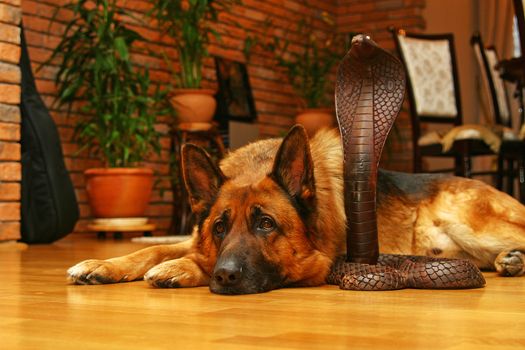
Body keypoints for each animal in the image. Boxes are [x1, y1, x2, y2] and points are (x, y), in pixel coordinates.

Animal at [67, 124, 524, 294]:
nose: (225, 276)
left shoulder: (319, 265)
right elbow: (152, 248)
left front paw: (181, 268)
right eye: (219, 227)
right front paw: (102, 264)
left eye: (266, 224)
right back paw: (510, 260)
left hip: (471, 224)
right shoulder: (195, 236)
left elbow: (185, 259)